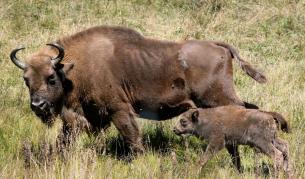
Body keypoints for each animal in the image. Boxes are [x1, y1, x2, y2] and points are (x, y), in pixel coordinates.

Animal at [10, 25, 264, 152]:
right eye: (26, 79)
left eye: (51, 77)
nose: (38, 105)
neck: (76, 66)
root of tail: (219, 47)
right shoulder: (87, 117)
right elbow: (64, 139)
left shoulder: (119, 110)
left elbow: (131, 137)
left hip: (217, 99)